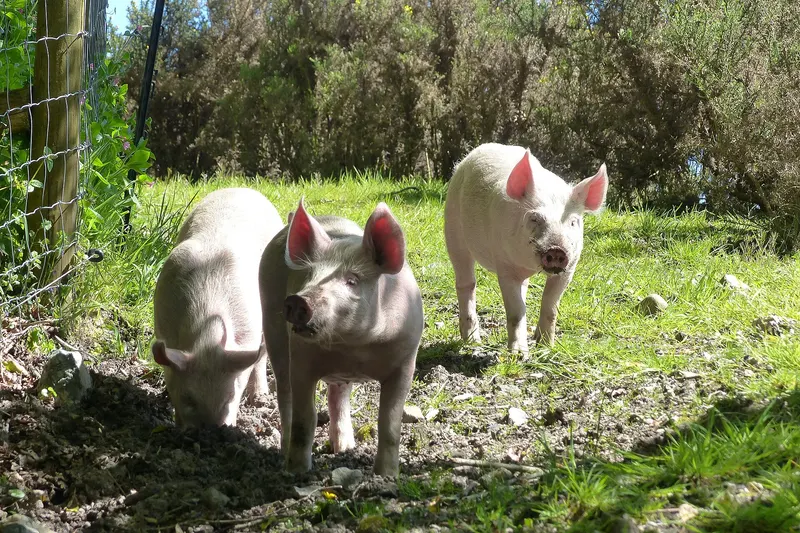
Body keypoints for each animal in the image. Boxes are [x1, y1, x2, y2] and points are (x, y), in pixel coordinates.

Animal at [259, 199, 423, 476]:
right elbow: (305, 419)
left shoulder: (406, 359)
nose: (298, 299)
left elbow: (389, 422)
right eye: (309, 275)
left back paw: (345, 449)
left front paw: (387, 476)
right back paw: (284, 454)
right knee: (285, 394)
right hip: (272, 327)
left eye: (352, 280)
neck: (354, 347)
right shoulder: (301, 358)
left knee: (338, 395)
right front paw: (298, 473)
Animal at [444, 143, 608, 354]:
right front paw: (518, 354)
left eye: (573, 222)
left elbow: (550, 307)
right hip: (453, 230)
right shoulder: (504, 265)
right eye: (534, 218)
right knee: (466, 282)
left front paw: (546, 347)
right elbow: (516, 311)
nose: (556, 249)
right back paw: (473, 342)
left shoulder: (569, 268)